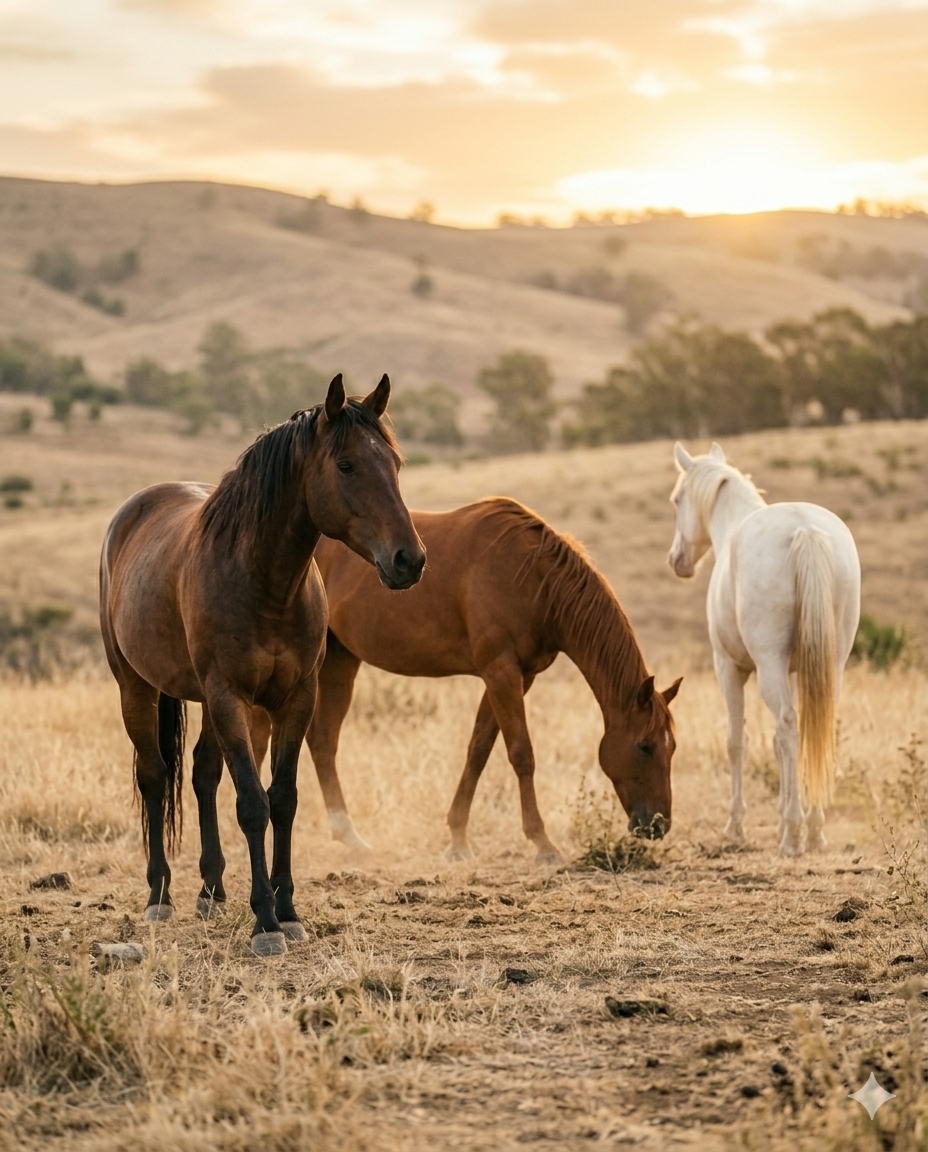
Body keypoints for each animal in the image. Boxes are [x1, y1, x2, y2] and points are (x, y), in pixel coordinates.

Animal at [99, 374, 425, 955]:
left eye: (394, 462)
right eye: (346, 465)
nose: (409, 559)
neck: (263, 581)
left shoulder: (295, 698)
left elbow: (284, 799)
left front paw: (288, 910)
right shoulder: (231, 696)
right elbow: (253, 804)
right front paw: (266, 923)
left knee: (202, 776)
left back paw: (211, 890)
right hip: (136, 688)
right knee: (155, 777)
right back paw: (159, 896)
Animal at [279, 498, 681, 862]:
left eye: (672, 747)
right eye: (645, 746)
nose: (658, 825)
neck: (532, 578)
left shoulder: (515, 676)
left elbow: (479, 750)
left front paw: (458, 838)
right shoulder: (501, 672)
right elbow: (521, 754)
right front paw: (542, 842)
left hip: (342, 659)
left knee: (324, 741)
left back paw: (348, 835)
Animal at [667, 442, 860, 855]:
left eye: (677, 499)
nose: (677, 561)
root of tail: (805, 530)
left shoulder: (729, 669)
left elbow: (737, 741)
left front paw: (736, 826)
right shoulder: (795, 670)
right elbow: (776, 743)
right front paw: (781, 818)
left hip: (767, 666)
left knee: (788, 724)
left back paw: (793, 835)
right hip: (831, 665)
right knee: (814, 728)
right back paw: (814, 829)